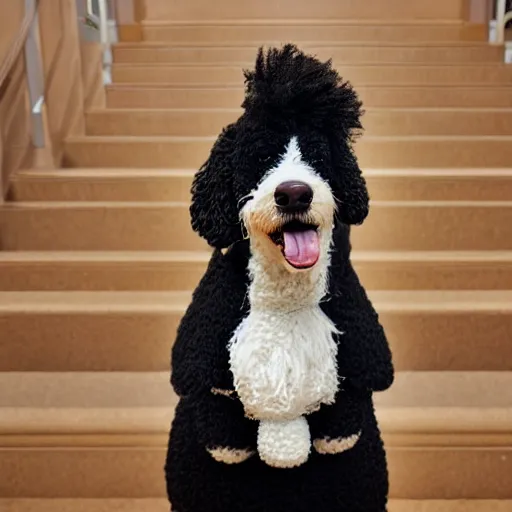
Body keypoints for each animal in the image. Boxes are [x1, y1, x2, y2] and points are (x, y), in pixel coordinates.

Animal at [166, 45, 394, 512]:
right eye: (258, 159)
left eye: (318, 157)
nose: (294, 193)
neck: (285, 303)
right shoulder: (199, 347)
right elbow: (211, 402)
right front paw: (236, 445)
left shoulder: (361, 343)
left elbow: (352, 396)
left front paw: (327, 436)